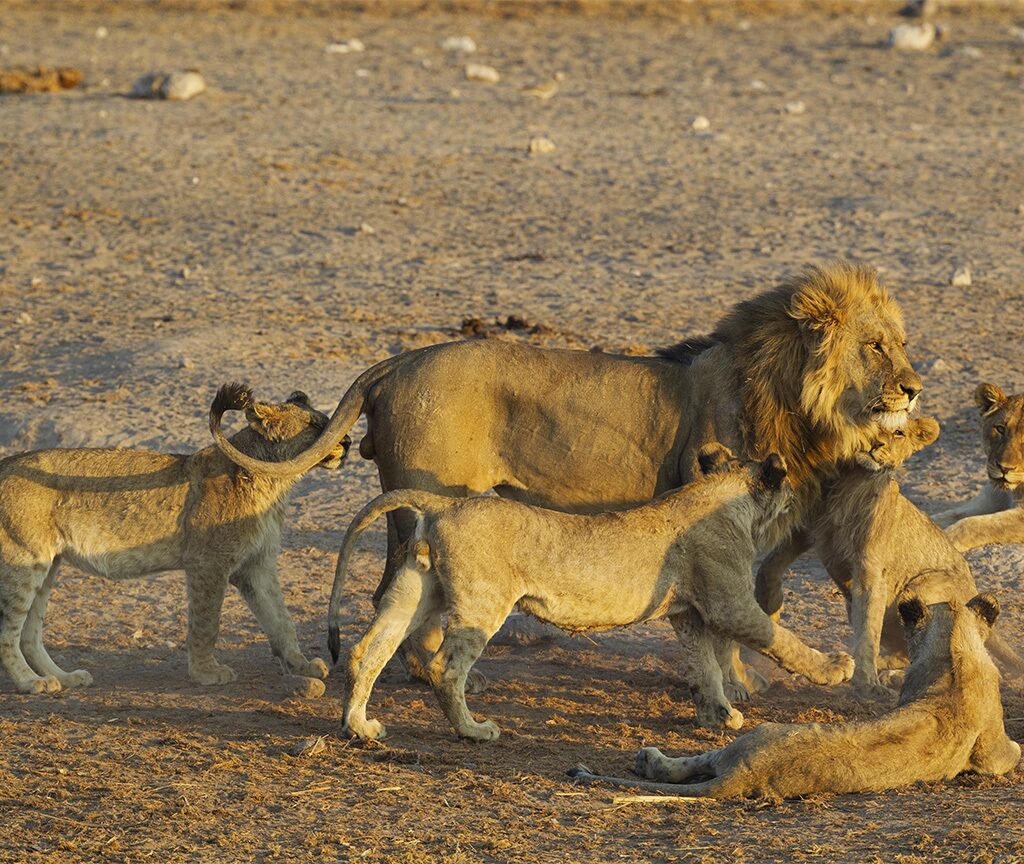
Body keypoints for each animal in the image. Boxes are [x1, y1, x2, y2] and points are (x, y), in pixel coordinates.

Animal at [0, 384, 348, 696]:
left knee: (30, 634)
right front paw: (206, 673)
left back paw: (64, 677)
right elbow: (206, 622)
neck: (274, 481)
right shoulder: (209, 563)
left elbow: (281, 619)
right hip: (23, 559)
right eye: (314, 426)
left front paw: (303, 665)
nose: (346, 440)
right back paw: (31, 682)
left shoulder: (257, 564)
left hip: (48, 564)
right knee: (8, 630)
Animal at [209, 262, 921, 696]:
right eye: (876, 346)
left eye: (902, 345)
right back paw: (437, 675)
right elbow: (737, 621)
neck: (792, 399)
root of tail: (397, 361)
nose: (915, 389)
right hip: (426, 499)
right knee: (400, 592)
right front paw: (743, 684)